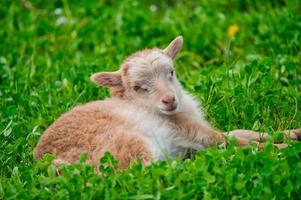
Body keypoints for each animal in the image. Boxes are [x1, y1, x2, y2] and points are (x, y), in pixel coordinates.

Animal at [35, 36, 300, 169]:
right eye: (138, 87)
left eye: (171, 72)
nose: (169, 100)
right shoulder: (191, 130)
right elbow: (240, 141)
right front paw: (285, 148)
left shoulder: (195, 131)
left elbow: (244, 132)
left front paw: (293, 133)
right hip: (129, 145)